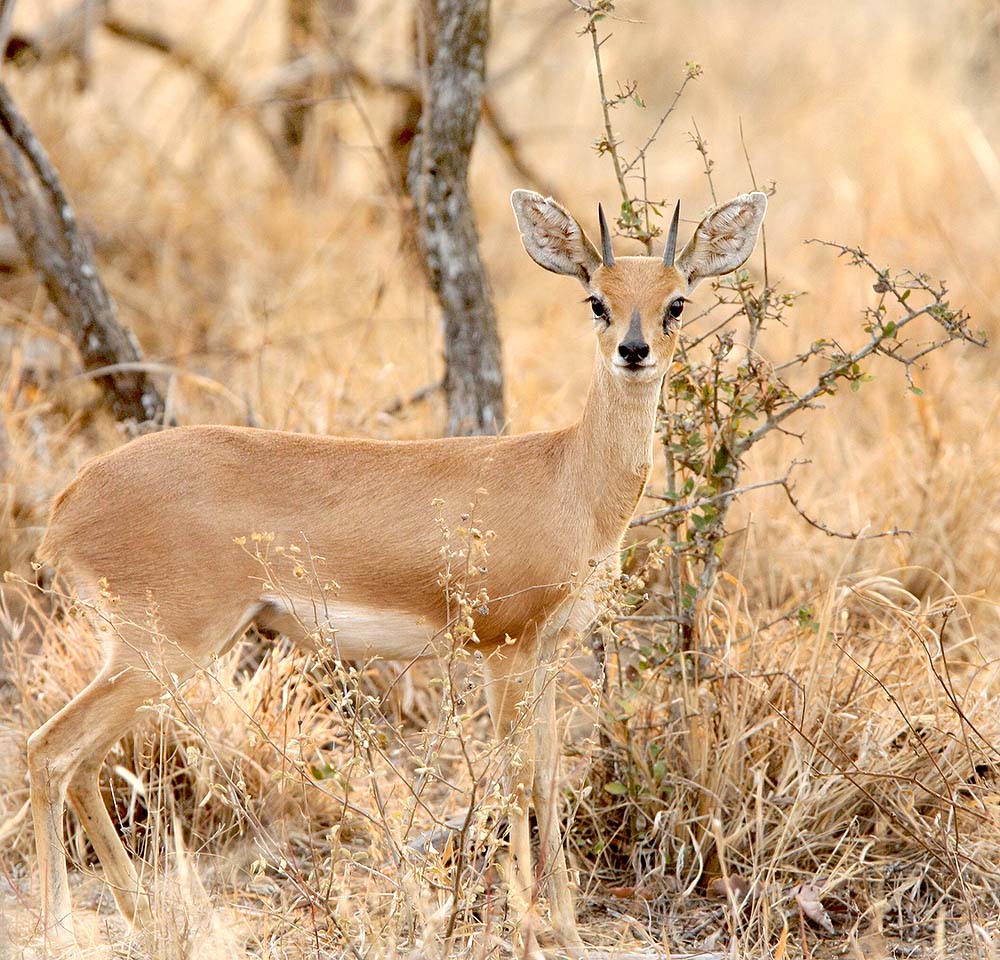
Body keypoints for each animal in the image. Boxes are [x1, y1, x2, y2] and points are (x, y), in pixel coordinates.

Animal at [9, 188, 764, 952]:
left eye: (676, 302)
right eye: (596, 300)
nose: (634, 352)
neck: (567, 479)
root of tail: (70, 502)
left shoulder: (550, 652)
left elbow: (550, 782)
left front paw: (571, 938)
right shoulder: (504, 650)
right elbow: (514, 781)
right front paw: (525, 936)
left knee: (83, 762)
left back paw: (143, 920)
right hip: (163, 648)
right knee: (49, 750)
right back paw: (60, 931)